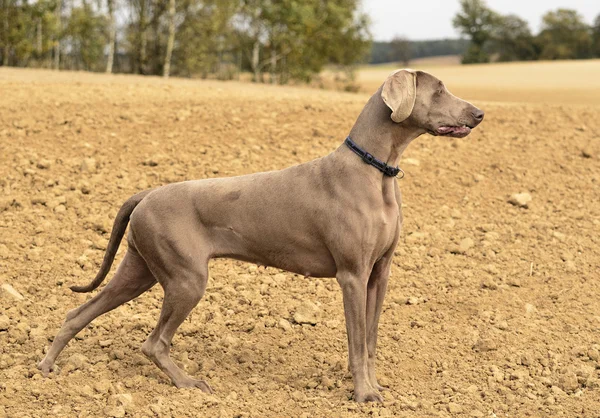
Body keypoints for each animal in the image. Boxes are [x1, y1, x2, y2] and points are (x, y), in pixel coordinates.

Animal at [39, 70, 482, 404]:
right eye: (438, 90)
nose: (479, 113)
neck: (376, 170)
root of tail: (147, 193)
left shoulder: (379, 274)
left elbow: (370, 341)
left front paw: (374, 387)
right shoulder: (352, 275)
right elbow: (356, 343)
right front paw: (363, 395)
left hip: (141, 270)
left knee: (78, 312)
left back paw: (45, 368)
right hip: (186, 280)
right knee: (154, 343)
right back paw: (189, 385)